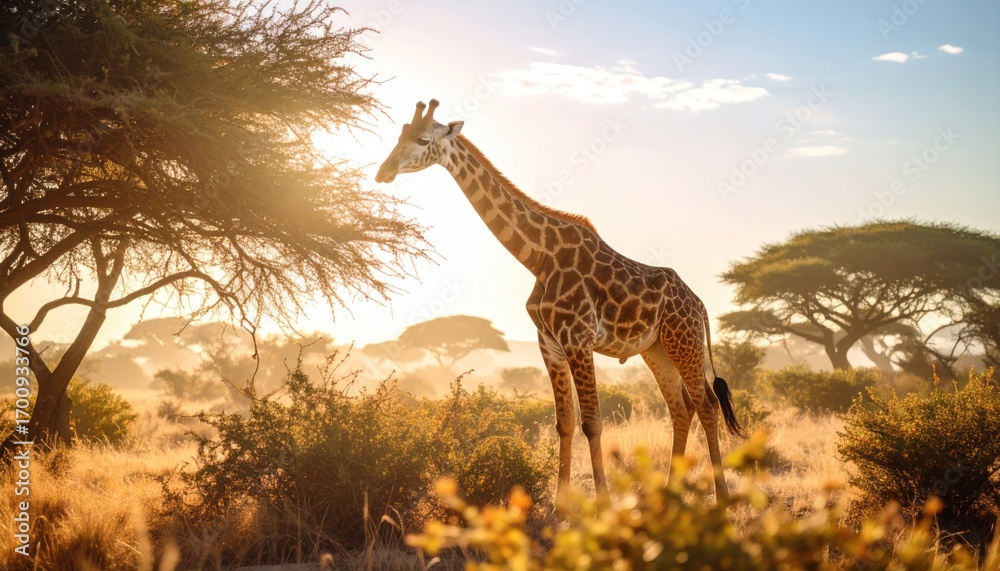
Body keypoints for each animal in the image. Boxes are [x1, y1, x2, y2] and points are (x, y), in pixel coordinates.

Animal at [375, 99, 742, 501]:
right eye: (399, 134)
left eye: (423, 140)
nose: (383, 171)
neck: (539, 257)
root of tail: (700, 306)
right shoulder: (549, 343)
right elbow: (564, 423)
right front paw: (559, 506)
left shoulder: (578, 339)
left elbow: (592, 423)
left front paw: (600, 505)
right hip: (656, 348)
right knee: (681, 407)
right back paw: (669, 495)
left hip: (683, 342)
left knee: (707, 404)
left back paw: (723, 499)